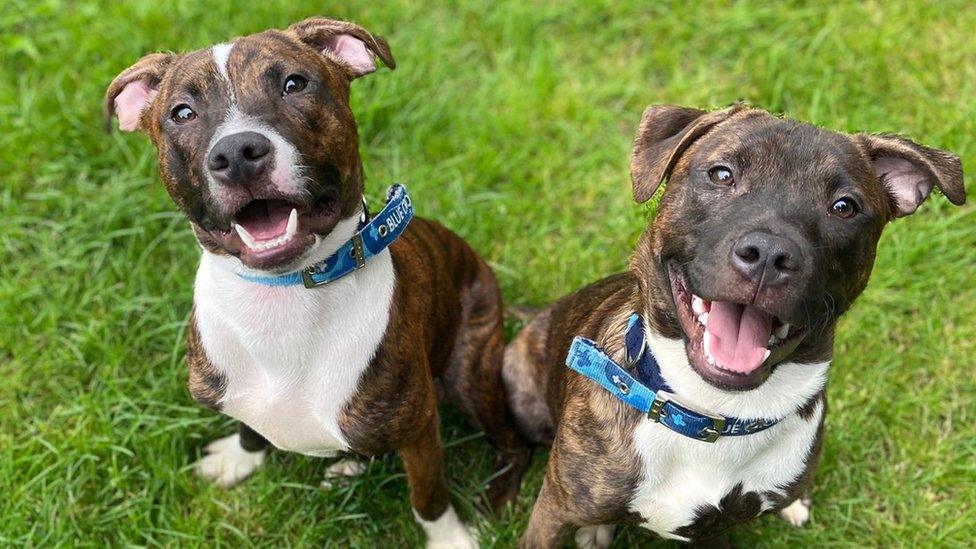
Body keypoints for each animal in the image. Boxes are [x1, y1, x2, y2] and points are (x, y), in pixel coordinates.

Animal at [105, 17, 528, 548]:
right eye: (182, 112)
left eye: (294, 84)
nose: (238, 152)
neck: (282, 297)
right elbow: (249, 429)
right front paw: (239, 458)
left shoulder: (418, 427)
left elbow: (428, 496)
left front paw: (449, 539)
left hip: (469, 372)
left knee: (514, 444)